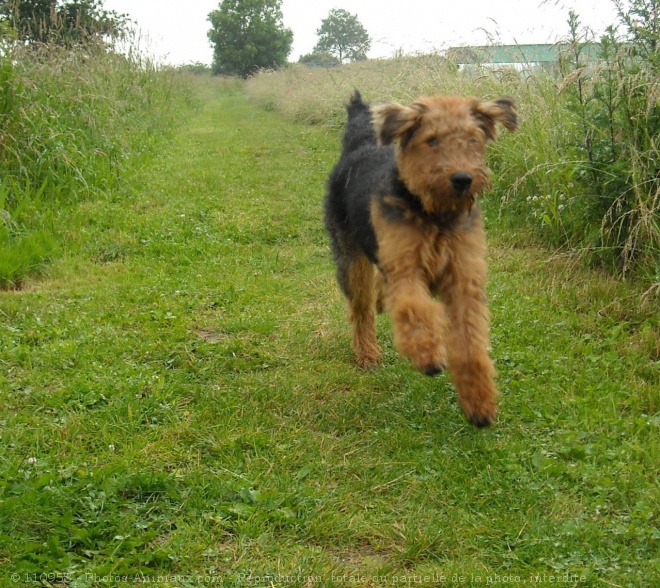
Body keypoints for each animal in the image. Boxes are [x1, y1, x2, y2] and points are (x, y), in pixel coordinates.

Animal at [324, 89, 516, 424]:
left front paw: (479, 403)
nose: (463, 179)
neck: (436, 215)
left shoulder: (464, 279)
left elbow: (471, 343)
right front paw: (428, 355)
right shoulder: (406, 269)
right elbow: (415, 309)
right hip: (350, 257)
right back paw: (368, 354)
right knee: (361, 310)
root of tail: (357, 146)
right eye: (432, 139)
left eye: (473, 139)